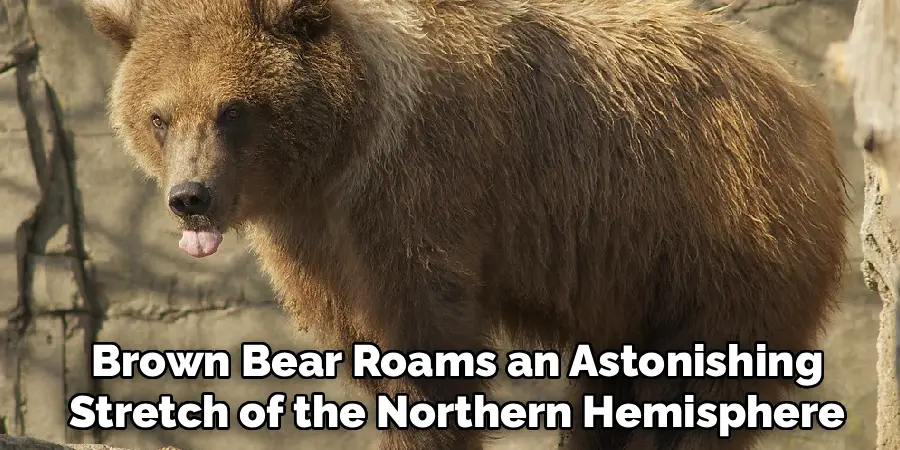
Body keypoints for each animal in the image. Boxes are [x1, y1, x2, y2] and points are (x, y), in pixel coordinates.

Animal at [83, 0, 848, 449]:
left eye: (232, 109)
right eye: (159, 115)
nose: (191, 197)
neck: (341, 154)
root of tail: (797, 89)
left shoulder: (425, 192)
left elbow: (429, 335)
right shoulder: (317, 245)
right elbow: (363, 343)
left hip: (716, 229)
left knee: (704, 379)